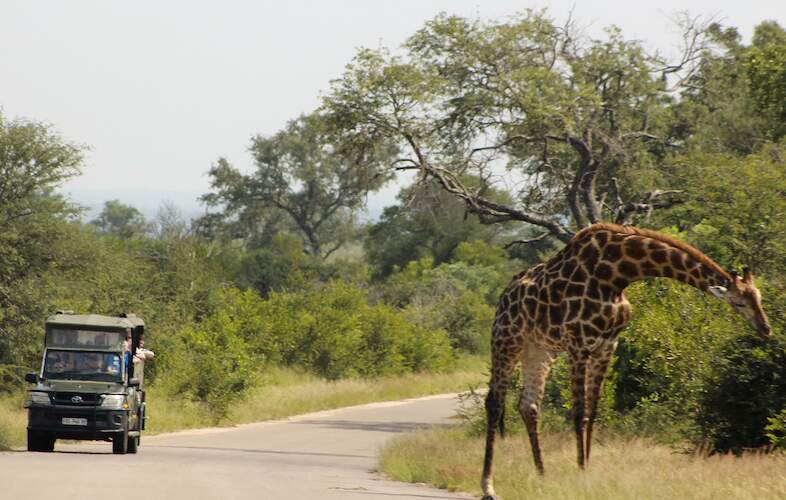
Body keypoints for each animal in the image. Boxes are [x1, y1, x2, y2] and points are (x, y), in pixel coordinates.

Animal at [480, 224, 768, 500]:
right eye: (740, 303)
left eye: (760, 298)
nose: (766, 329)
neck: (615, 275)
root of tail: (504, 295)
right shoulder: (578, 345)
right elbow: (579, 413)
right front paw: (581, 471)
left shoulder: (607, 345)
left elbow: (593, 412)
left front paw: (586, 469)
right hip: (506, 341)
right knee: (494, 403)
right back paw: (488, 486)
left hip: (539, 352)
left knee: (529, 406)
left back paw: (542, 474)